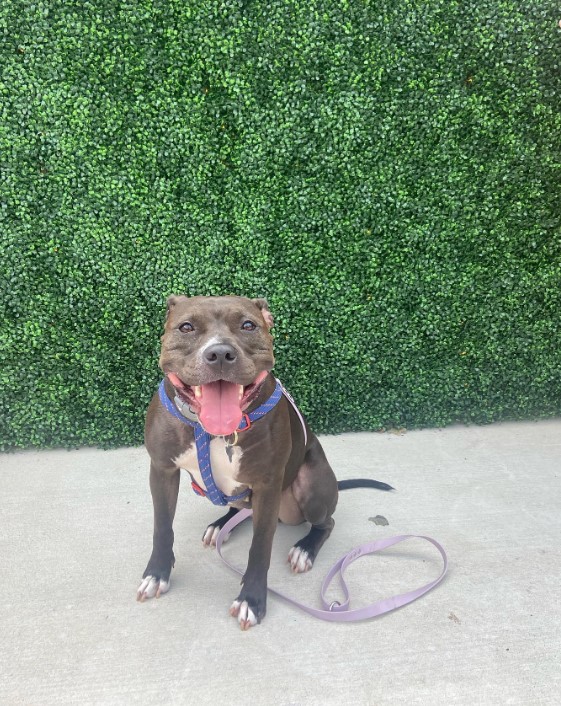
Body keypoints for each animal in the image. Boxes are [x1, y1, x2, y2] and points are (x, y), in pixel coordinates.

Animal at [137, 292, 390, 628]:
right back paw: (221, 525)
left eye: (248, 325)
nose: (220, 353)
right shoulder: (162, 470)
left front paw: (251, 599)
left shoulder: (268, 485)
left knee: (326, 522)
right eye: (186, 327)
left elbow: (261, 545)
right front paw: (157, 574)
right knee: (237, 508)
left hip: (311, 487)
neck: (214, 434)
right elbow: (162, 527)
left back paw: (304, 549)